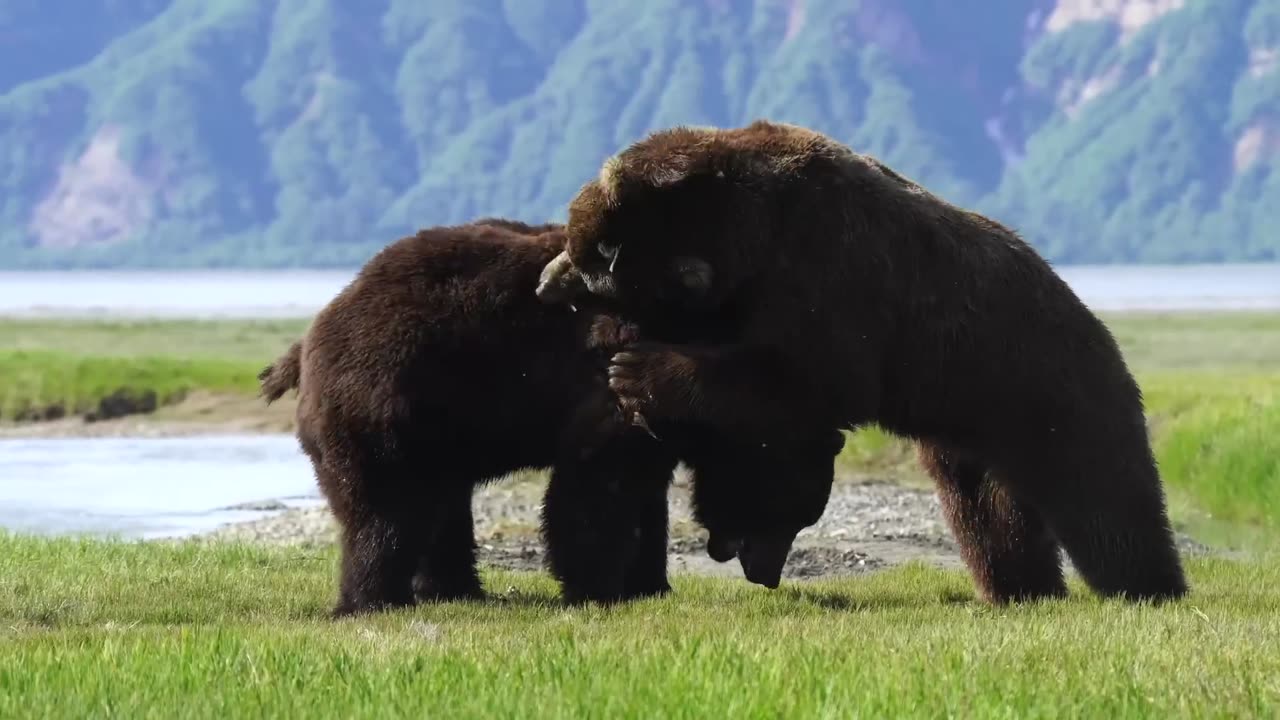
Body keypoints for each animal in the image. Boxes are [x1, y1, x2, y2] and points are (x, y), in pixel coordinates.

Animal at [257, 217, 842, 616]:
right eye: (789, 510)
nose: (768, 575)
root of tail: (310, 335)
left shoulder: (659, 421)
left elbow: (646, 497)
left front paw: (650, 583)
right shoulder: (614, 379)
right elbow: (594, 488)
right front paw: (596, 588)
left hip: (438, 427)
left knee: (443, 504)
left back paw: (456, 590)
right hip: (385, 400)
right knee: (386, 510)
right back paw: (374, 599)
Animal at [534, 120, 1189, 605]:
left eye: (588, 258)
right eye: (574, 239)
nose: (546, 282)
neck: (747, 233)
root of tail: (1096, 326)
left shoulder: (829, 273)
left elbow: (807, 378)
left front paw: (638, 369)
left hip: (1051, 393)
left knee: (1106, 502)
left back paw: (1148, 587)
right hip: (969, 438)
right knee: (989, 517)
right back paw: (1019, 589)